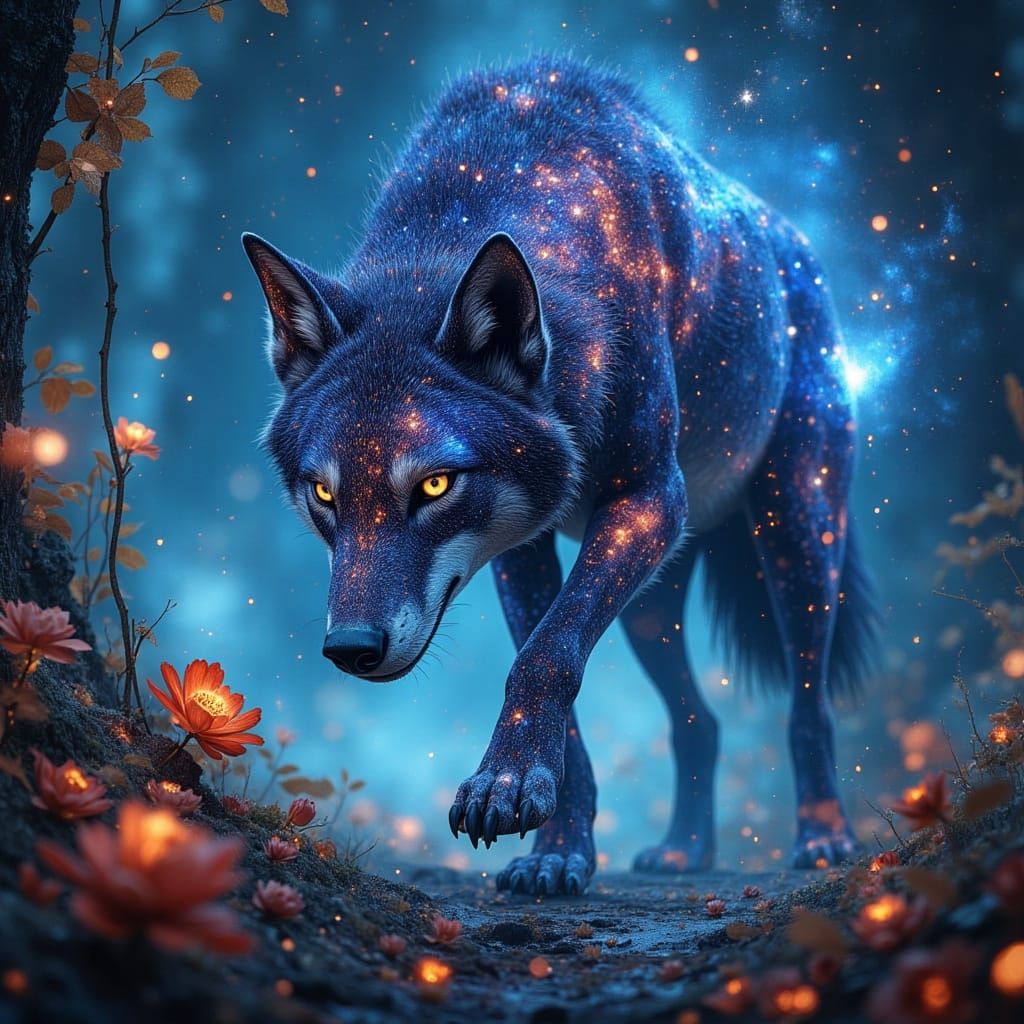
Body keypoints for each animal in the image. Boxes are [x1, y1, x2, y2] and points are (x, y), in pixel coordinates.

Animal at [243, 58, 878, 896]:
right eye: (324, 494)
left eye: (434, 487)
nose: (349, 649)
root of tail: (800, 248)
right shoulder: (521, 548)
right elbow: (553, 679)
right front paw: (556, 849)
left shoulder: (650, 500)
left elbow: (546, 658)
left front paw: (508, 786)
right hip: (654, 609)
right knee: (699, 723)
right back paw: (683, 851)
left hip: (797, 533)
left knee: (810, 700)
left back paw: (825, 836)